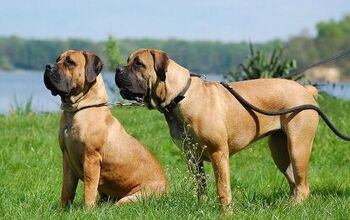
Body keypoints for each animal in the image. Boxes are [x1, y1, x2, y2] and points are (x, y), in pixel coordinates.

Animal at [43, 49, 167, 208]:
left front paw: (87, 209)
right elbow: (67, 189)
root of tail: (166, 189)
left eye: (70, 62)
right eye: (58, 59)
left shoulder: (91, 159)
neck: (76, 110)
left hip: (131, 198)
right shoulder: (67, 159)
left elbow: (89, 189)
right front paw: (62, 209)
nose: (48, 66)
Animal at [115, 48, 326, 211]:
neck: (180, 96)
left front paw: (226, 212)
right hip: (280, 150)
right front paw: (202, 207)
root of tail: (306, 89)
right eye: (128, 61)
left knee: (303, 184)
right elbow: (201, 186)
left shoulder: (218, 153)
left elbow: (222, 187)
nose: (117, 70)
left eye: (139, 64)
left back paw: (294, 207)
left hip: (298, 146)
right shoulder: (192, 156)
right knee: (294, 181)